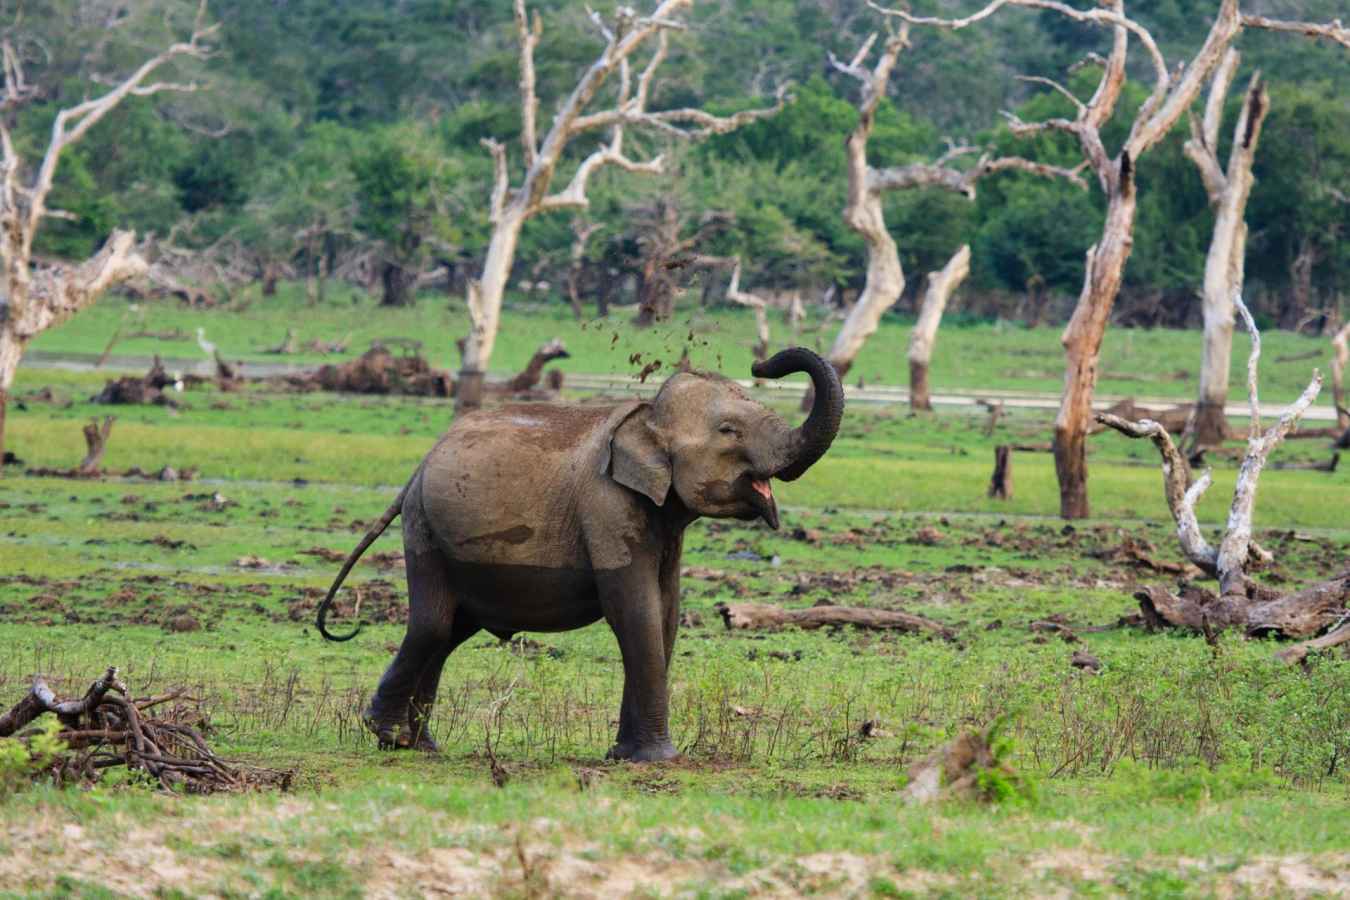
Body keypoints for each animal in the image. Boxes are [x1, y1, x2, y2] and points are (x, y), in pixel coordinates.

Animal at [316, 347, 844, 762]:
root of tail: (419, 466)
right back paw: (388, 735)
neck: (645, 415)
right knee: (432, 624)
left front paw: (624, 756)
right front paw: (658, 760)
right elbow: (634, 611)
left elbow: (665, 613)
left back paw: (420, 746)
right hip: (423, 527)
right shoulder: (606, 506)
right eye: (729, 431)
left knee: (448, 632)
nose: (761, 361)